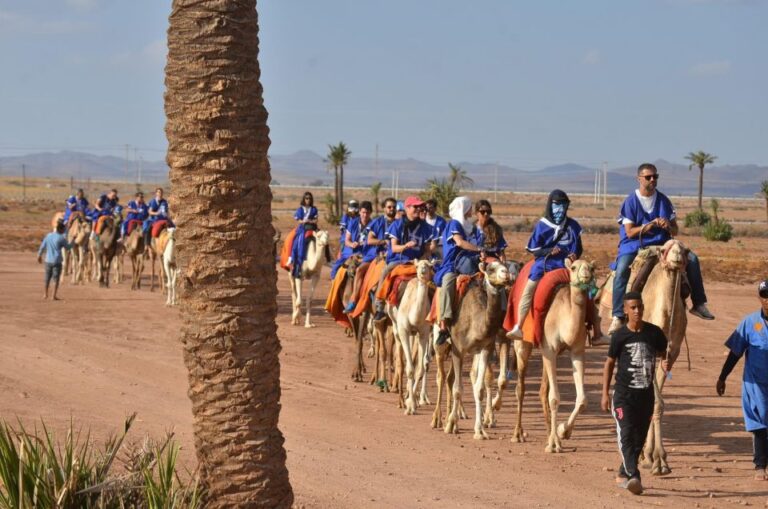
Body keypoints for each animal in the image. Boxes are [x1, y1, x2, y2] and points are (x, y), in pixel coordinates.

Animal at [388, 258, 436, 412]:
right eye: (417, 266)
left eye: (429, 266)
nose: (422, 272)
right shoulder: (404, 331)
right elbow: (409, 368)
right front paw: (409, 405)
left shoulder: (424, 333)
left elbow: (420, 368)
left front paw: (413, 401)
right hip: (396, 327)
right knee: (399, 359)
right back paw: (399, 397)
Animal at [432, 260, 510, 438]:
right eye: (491, 269)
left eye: (505, 265)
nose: (506, 274)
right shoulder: (458, 349)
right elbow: (458, 389)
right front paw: (450, 424)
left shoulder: (485, 348)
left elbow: (479, 388)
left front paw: (479, 431)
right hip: (440, 343)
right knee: (441, 377)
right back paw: (438, 420)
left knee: (450, 378)